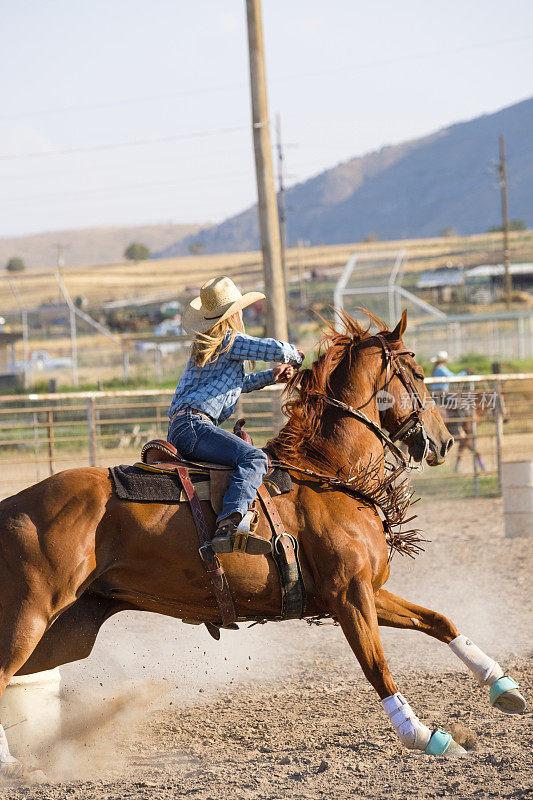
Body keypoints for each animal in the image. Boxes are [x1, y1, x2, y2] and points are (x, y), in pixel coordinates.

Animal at [0, 310, 524, 772]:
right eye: (416, 373)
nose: (443, 441)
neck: (325, 474)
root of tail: (12, 506)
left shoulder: (365, 590)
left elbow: (438, 620)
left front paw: (503, 687)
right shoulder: (349, 596)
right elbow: (377, 666)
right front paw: (424, 735)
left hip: (65, 629)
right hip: (30, 616)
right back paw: (12, 765)